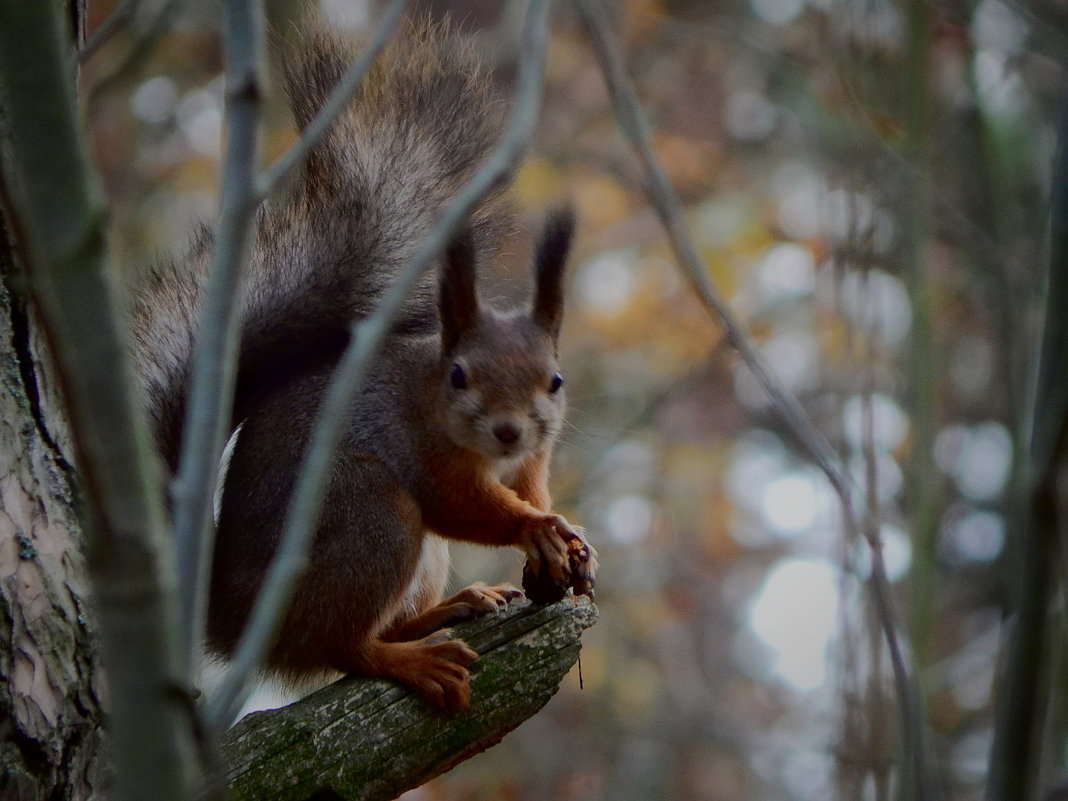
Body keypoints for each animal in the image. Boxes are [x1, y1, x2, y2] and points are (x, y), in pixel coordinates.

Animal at [129, 18, 598, 713]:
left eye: (555, 380)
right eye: (459, 375)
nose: (510, 429)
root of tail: (232, 619)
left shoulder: (532, 459)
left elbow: (531, 486)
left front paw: (565, 532)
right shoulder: (421, 447)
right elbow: (462, 504)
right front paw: (534, 525)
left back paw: (448, 609)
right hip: (372, 515)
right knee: (342, 647)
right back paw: (412, 660)